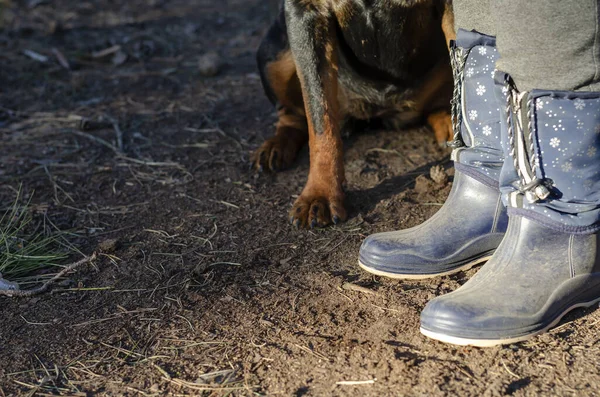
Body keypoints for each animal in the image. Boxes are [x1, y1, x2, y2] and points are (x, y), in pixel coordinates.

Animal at [253, 0, 454, 227]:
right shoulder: (304, 12)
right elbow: (320, 120)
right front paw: (320, 193)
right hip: (276, 55)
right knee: (291, 116)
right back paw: (275, 147)